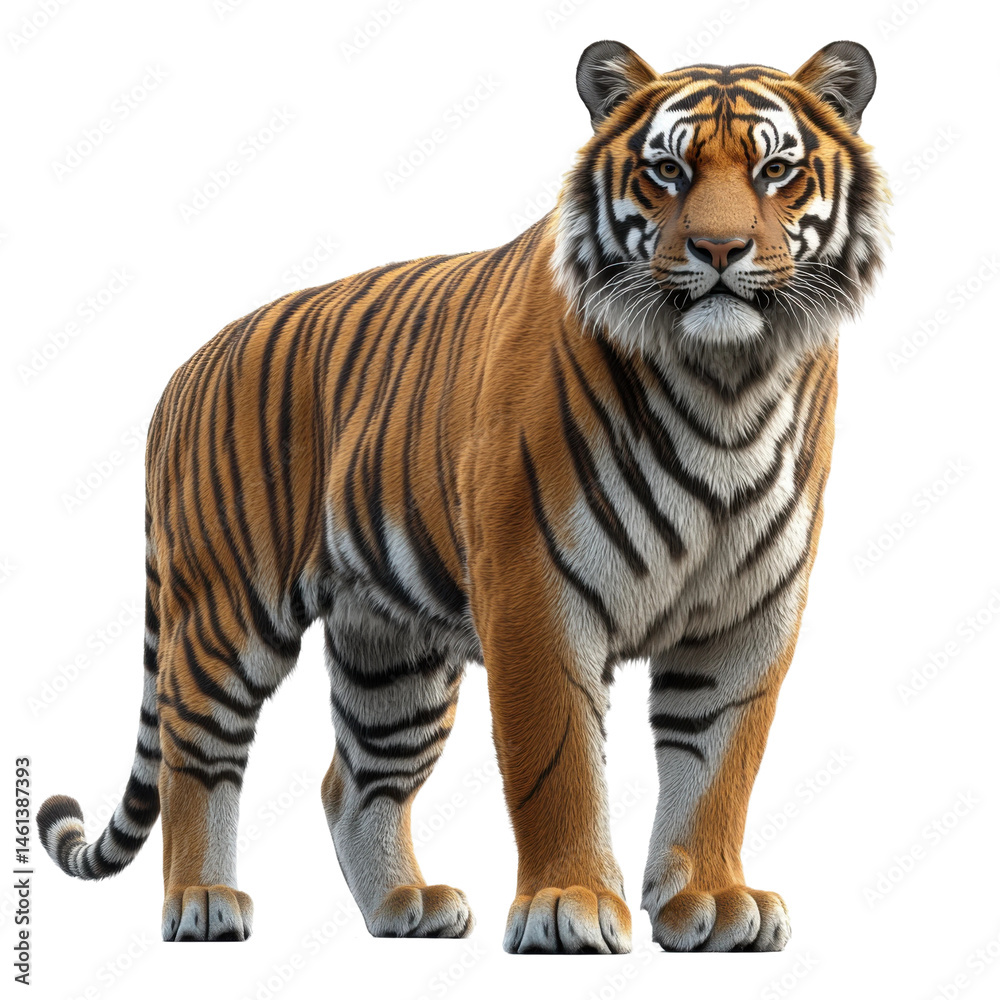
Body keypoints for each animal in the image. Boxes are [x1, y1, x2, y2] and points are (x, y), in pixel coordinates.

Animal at [37, 38, 888, 953]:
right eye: (667, 169)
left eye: (776, 170)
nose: (720, 249)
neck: (726, 382)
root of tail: (181, 372)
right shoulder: (535, 594)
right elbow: (557, 764)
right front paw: (569, 905)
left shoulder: (744, 613)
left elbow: (719, 764)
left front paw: (715, 901)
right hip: (223, 612)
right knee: (193, 750)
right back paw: (202, 901)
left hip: (394, 653)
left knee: (353, 782)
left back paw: (403, 906)